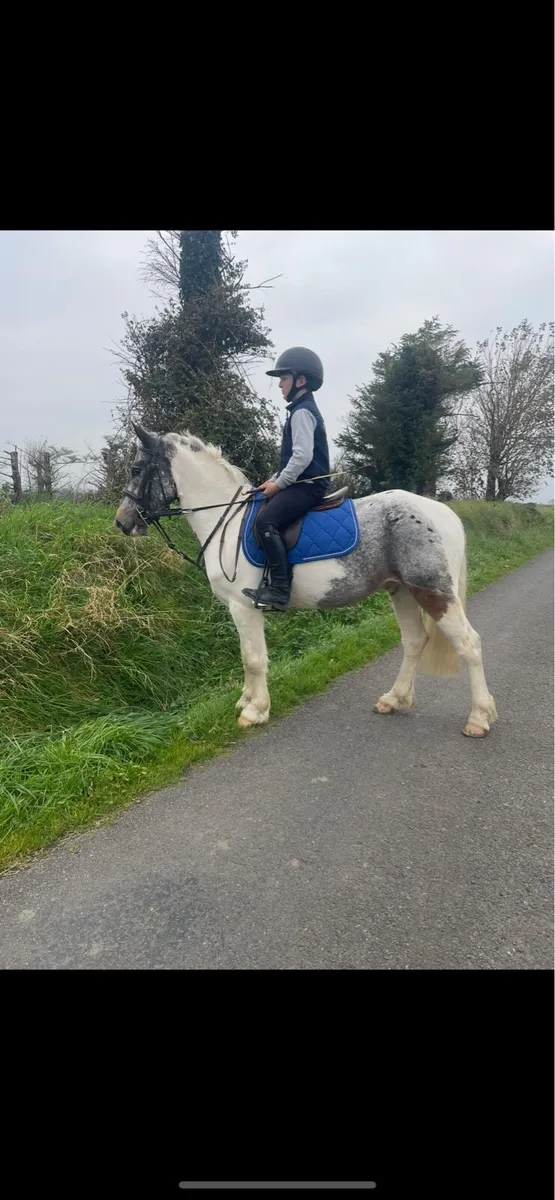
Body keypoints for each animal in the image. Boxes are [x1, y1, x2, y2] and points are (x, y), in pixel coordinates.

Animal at [114, 423, 497, 739]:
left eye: (136, 470)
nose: (122, 522)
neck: (227, 521)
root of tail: (442, 512)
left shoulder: (244, 607)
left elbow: (254, 659)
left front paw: (255, 711)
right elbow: (246, 658)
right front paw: (246, 701)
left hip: (432, 592)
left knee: (469, 643)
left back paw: (479, 718)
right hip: (401, 590)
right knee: (415, 641)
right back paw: (394, 698)